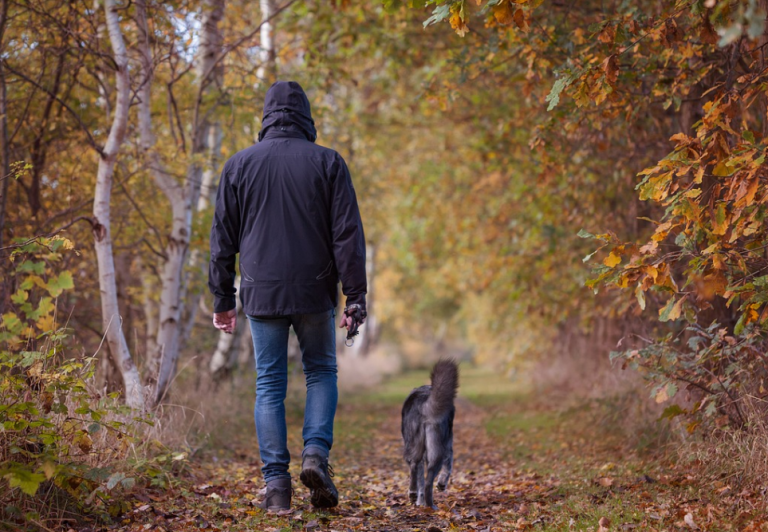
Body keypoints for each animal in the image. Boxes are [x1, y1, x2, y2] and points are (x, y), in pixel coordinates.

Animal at [402, 360, 456, 510]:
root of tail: (423, 401)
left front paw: (419, 501)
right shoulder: (448, 445)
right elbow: (449, 466)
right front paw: (442, 484)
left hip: (415, 445)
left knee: (415, 466)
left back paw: (414, 494)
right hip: (437, 450)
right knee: (428, 482)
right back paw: (431, 505)